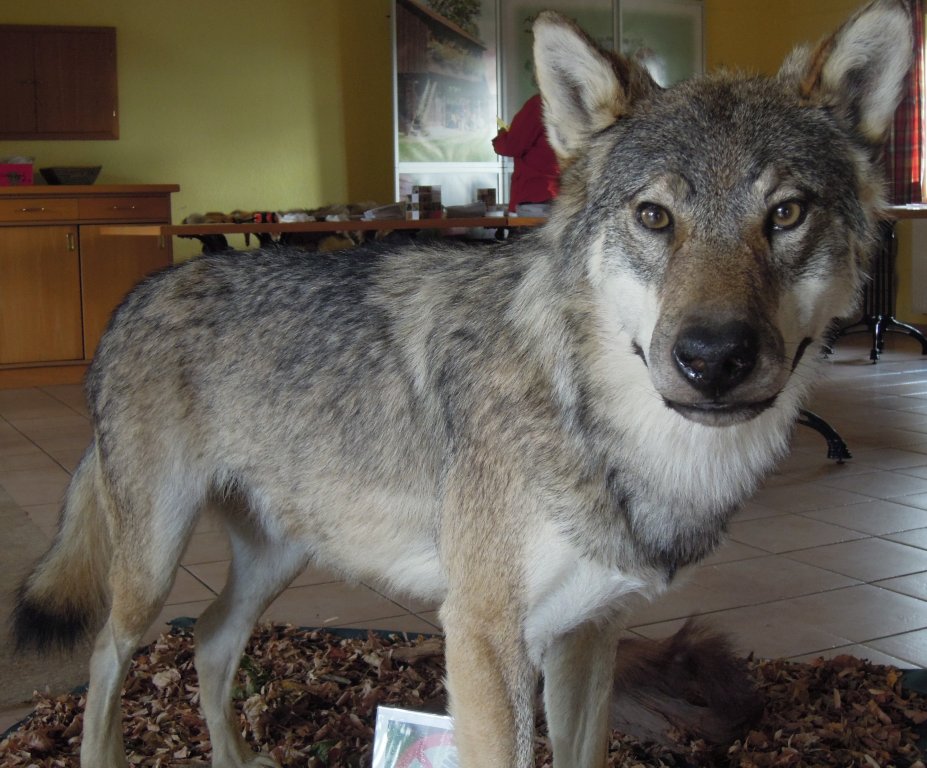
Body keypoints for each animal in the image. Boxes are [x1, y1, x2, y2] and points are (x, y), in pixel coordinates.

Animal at [11, 2, 911, 766]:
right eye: (654, 217)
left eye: (785, 214)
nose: (712, 357)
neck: (597, 425)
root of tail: (141, 293)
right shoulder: (482, 638)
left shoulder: (587, 638)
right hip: (152, 569)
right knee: (107, 658)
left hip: (278, 555)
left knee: (207, 638)